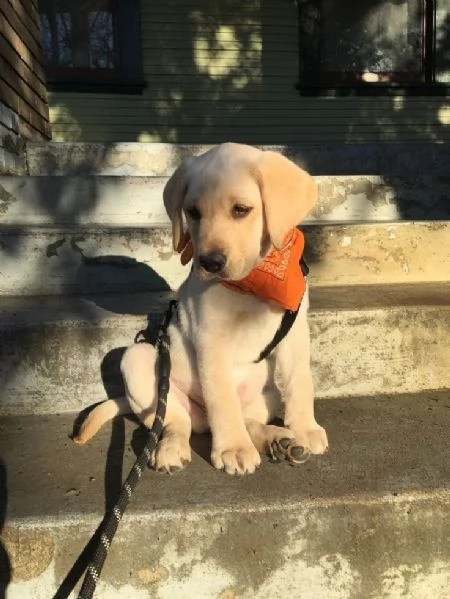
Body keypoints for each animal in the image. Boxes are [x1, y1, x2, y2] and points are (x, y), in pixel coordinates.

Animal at [73, 143, 326, 476]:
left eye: (241, 210)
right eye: (193, 213)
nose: (210, 263)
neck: (252, 281)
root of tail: (202, 420)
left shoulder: (294, 332)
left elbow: (300, 381)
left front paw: (306, 428)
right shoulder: (211, 339)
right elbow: (222, 398)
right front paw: (233, 448)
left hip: (267, 394)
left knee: (248, 420)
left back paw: (280, 440)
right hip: (141, 364)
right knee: (176, 423)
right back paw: (172, 449)